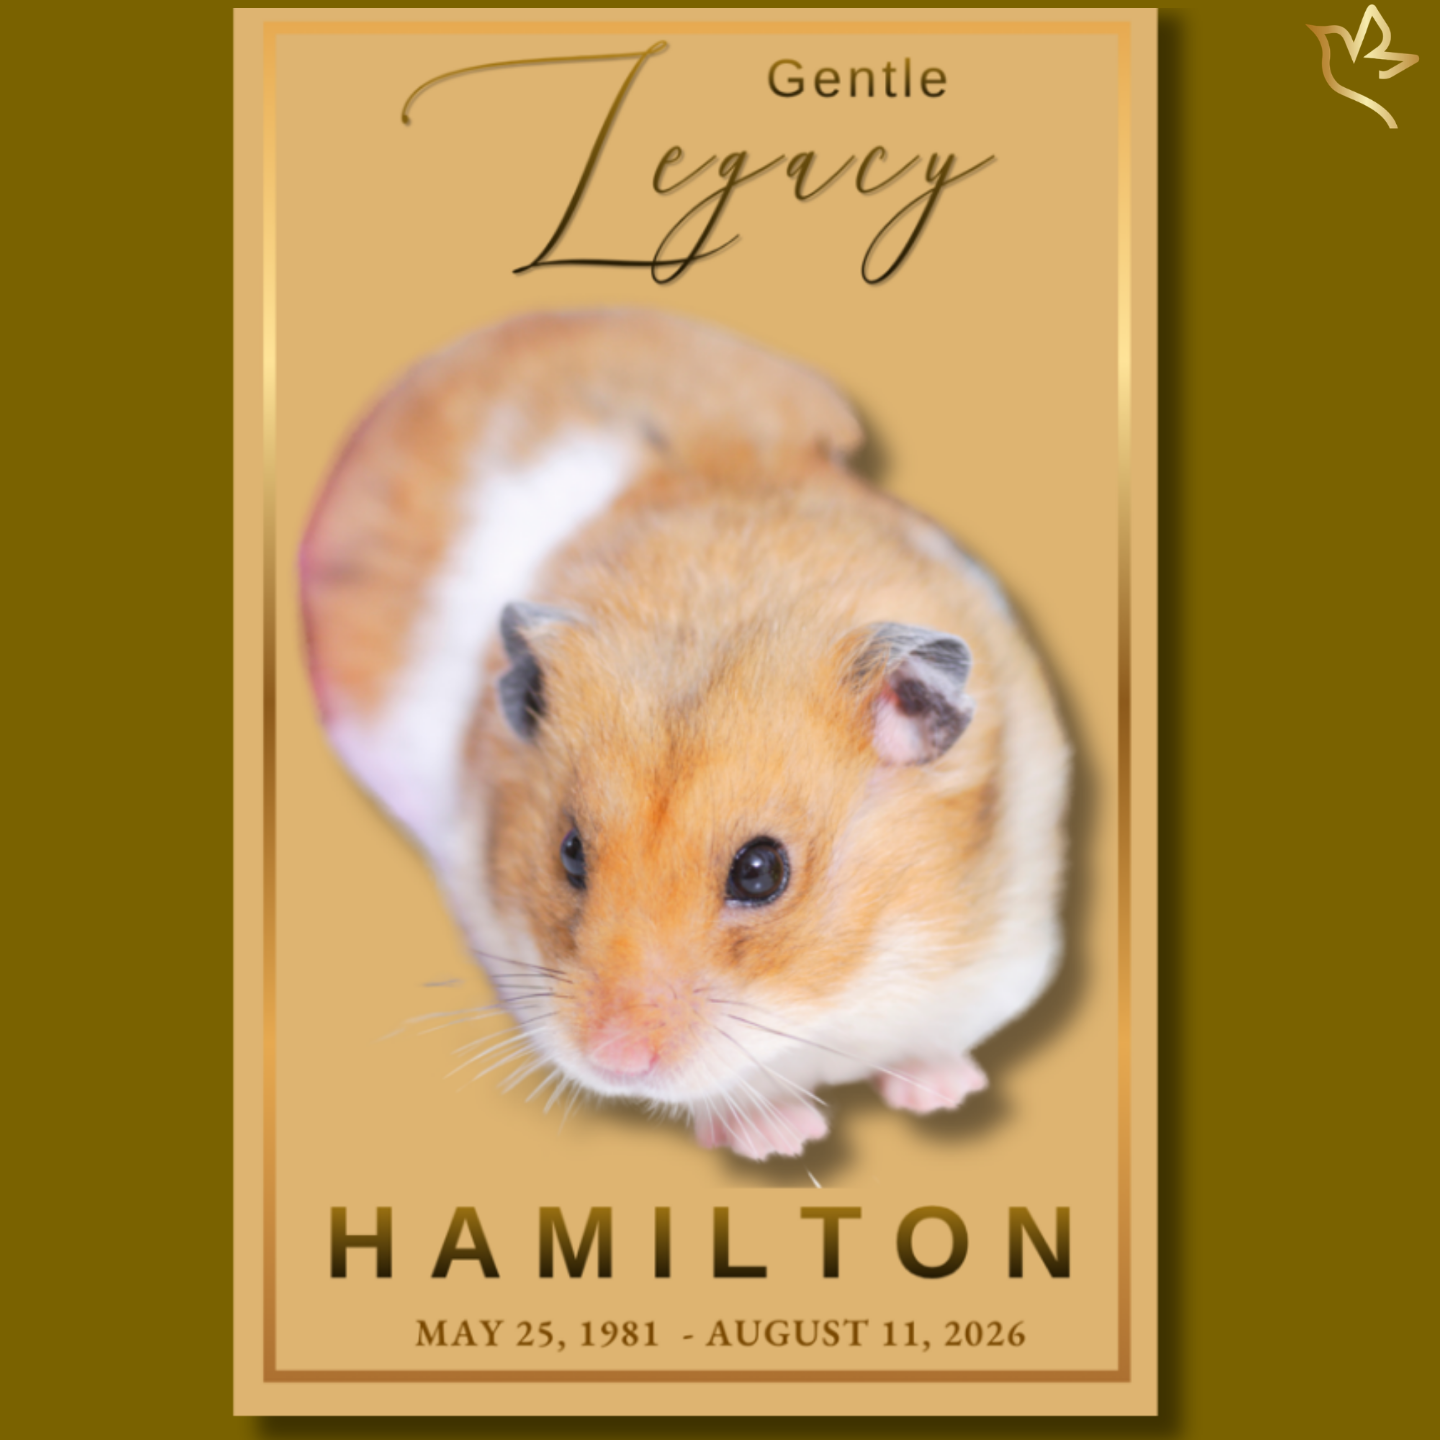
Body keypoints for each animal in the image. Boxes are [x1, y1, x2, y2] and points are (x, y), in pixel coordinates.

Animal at [301, 310, 1069, 1161]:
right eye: (570, 853)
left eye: (761, 871)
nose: (613, 1060)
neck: (842, 985)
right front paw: (780, 1138)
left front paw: (942, 1093)